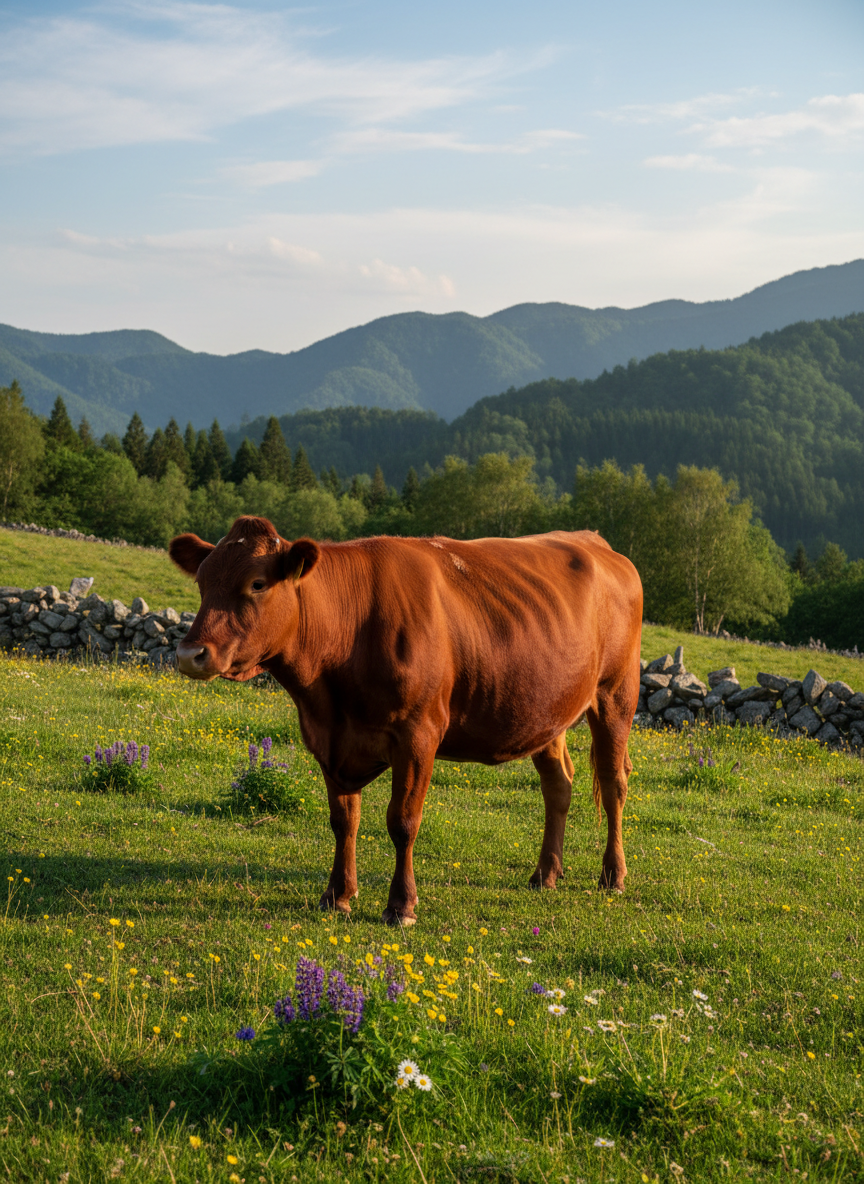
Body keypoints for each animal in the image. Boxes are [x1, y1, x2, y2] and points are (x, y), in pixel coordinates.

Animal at [169, 516, 642, 926]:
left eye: (257, 583)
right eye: (203, 583)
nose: (189, 654)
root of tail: (595, 541)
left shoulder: (418, 735)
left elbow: (402, 822)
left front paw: (401, 905)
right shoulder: (329, 740)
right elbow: (343, 821)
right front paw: (337, 895)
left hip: (616, 694)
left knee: (613, 782)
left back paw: (613, 875)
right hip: (547, 711)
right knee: (558, 784)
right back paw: (546, 873)